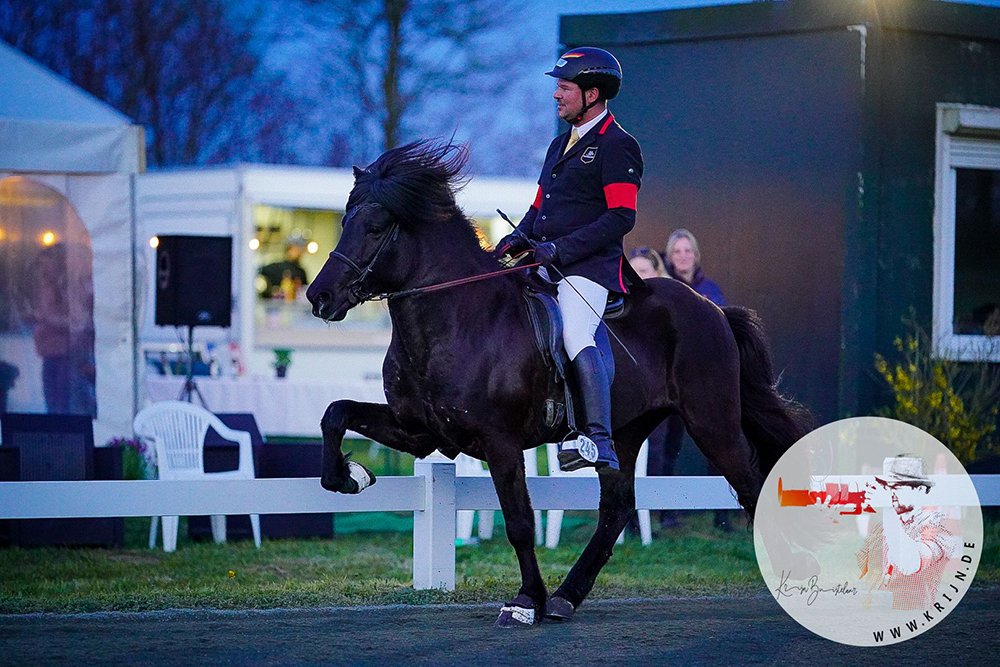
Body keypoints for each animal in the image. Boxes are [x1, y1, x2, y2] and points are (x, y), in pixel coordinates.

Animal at [306, 140, 812, 628]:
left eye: (375, 228)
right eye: (345, 221)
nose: (319, 296)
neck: (458, 317)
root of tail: (712, 309)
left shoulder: (500, 441)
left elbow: (519, 523)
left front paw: (525, 601)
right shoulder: (420, 432)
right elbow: (335, 413)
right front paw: (349, 476)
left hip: (713, 424)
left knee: (749, 486)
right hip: (625, 433)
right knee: (617, 508)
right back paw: (567, 596)